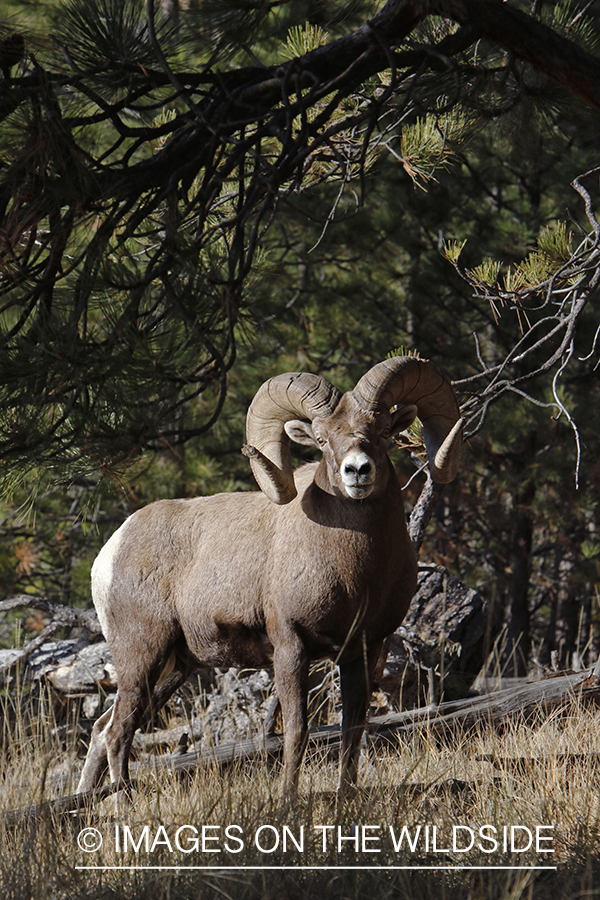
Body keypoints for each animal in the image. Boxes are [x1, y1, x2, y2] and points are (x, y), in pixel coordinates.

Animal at [77, 356, 463, 795]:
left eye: (381, 433)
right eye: (322, 439)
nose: (357, 472)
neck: (355, 575)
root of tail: (110, 552)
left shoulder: (363, 652)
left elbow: (353, 731)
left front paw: (346, 799)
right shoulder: (290, 647)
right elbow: (295, 732)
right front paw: (287, 801)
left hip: (173, 668)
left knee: (102, 729)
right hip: (141, 658)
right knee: (117, 734)